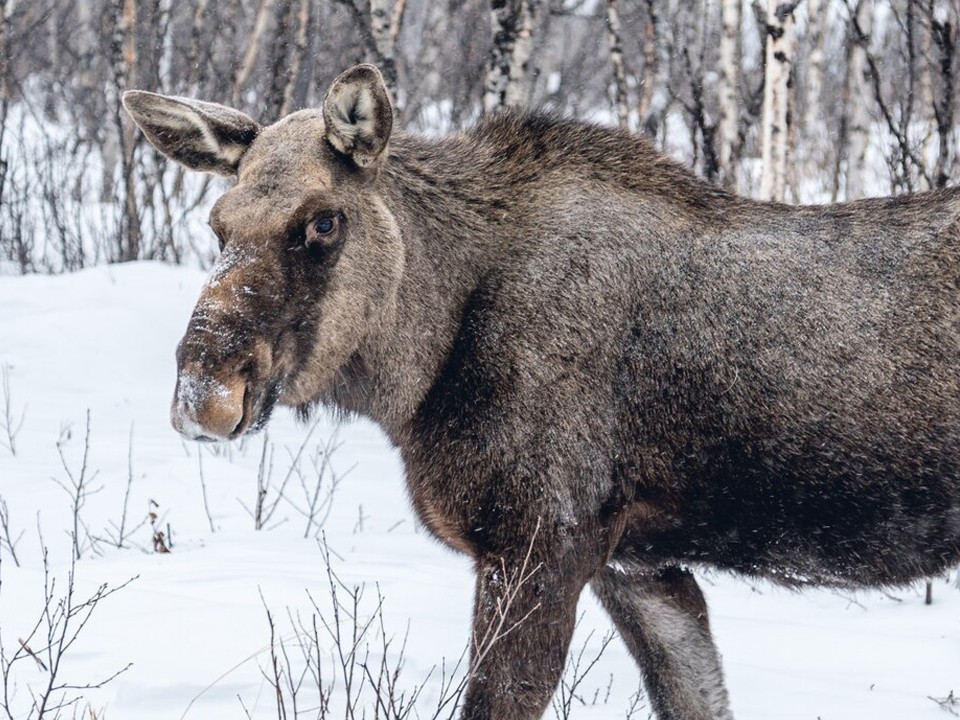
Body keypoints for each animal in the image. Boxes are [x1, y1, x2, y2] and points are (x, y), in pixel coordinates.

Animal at [125, 64, 960, 716]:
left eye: (323, 222)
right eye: (218, 223)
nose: (203, 393)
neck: (419, 371)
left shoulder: (539, 542)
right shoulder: (638, 565)